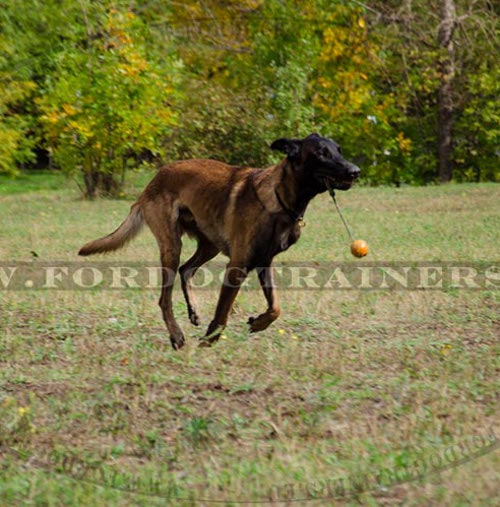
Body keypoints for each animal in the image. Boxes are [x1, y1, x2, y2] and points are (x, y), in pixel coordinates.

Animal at [78, 133, 360, 352]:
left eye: (339, 150)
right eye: (322, 153)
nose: (356, 171)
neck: (280, 199)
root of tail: (152, 182)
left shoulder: (264, 263)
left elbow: (276, 307)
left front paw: (258, 322)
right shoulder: (237, 266)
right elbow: (223, 313)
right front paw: (209, 341)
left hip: (209, 245)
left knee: (186, 270)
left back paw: (192, 312)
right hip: (172, 246)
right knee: (164, 298)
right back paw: (176, 335)